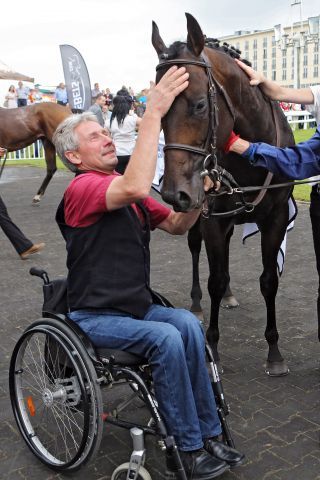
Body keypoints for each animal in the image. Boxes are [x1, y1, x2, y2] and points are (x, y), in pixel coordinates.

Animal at [152, 13, 296, 376]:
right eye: (154, 108)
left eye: (200, 104)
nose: (175, 194)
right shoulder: (211, 219)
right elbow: (214, 279)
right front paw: (212, 348)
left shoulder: (275, 217)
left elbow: (269, 280)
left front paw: (274, 351)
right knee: (196, 251)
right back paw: (197, 301)